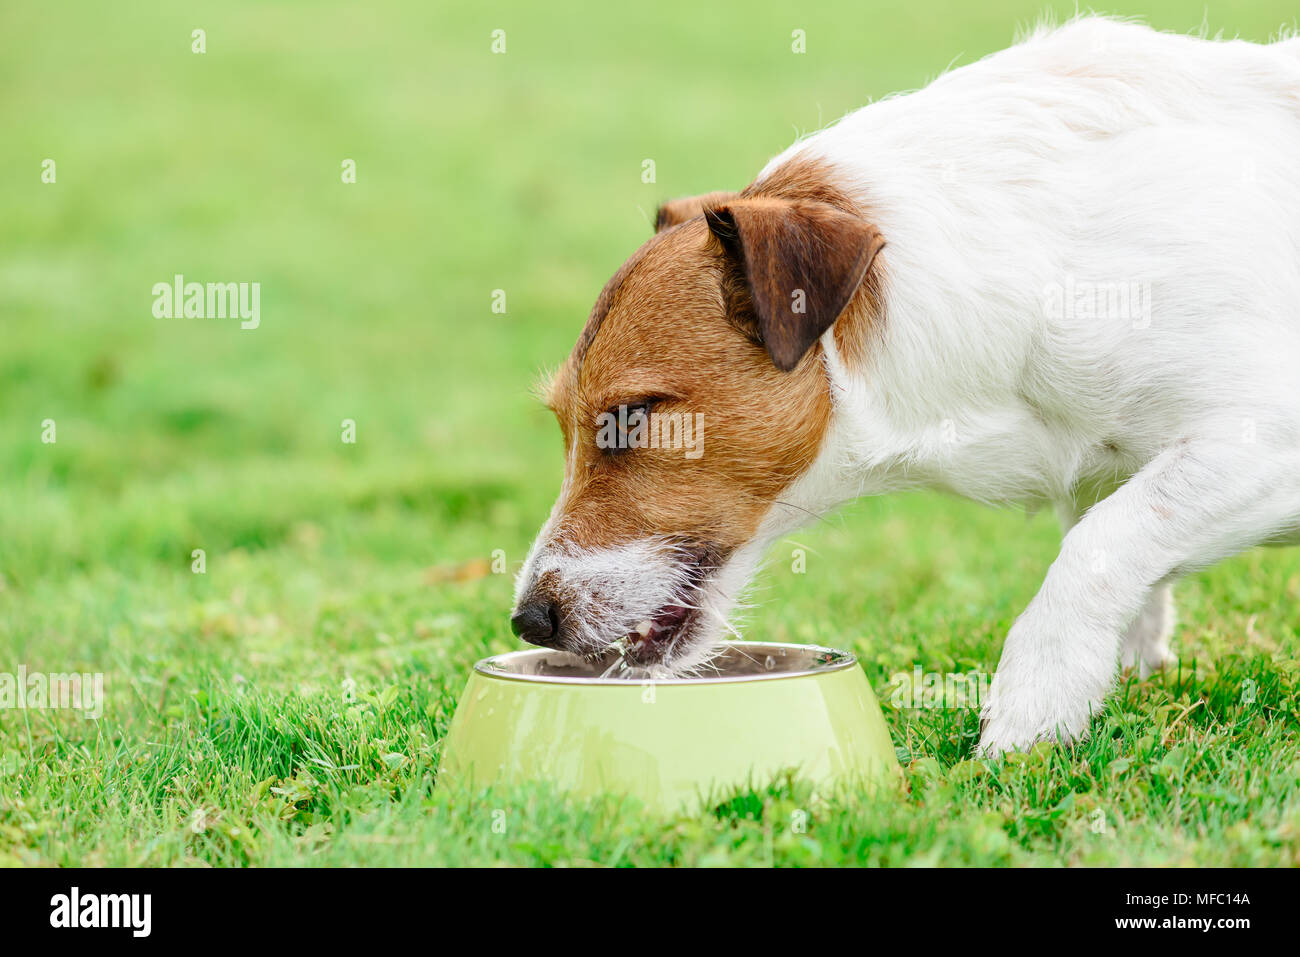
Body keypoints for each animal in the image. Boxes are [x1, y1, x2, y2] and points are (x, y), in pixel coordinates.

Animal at [509, 14, 1300, 754]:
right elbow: (1120, 549)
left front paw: (1034, 701)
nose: (528, 619)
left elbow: (1101, 545)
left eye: (631, 416)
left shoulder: (1260, 445)